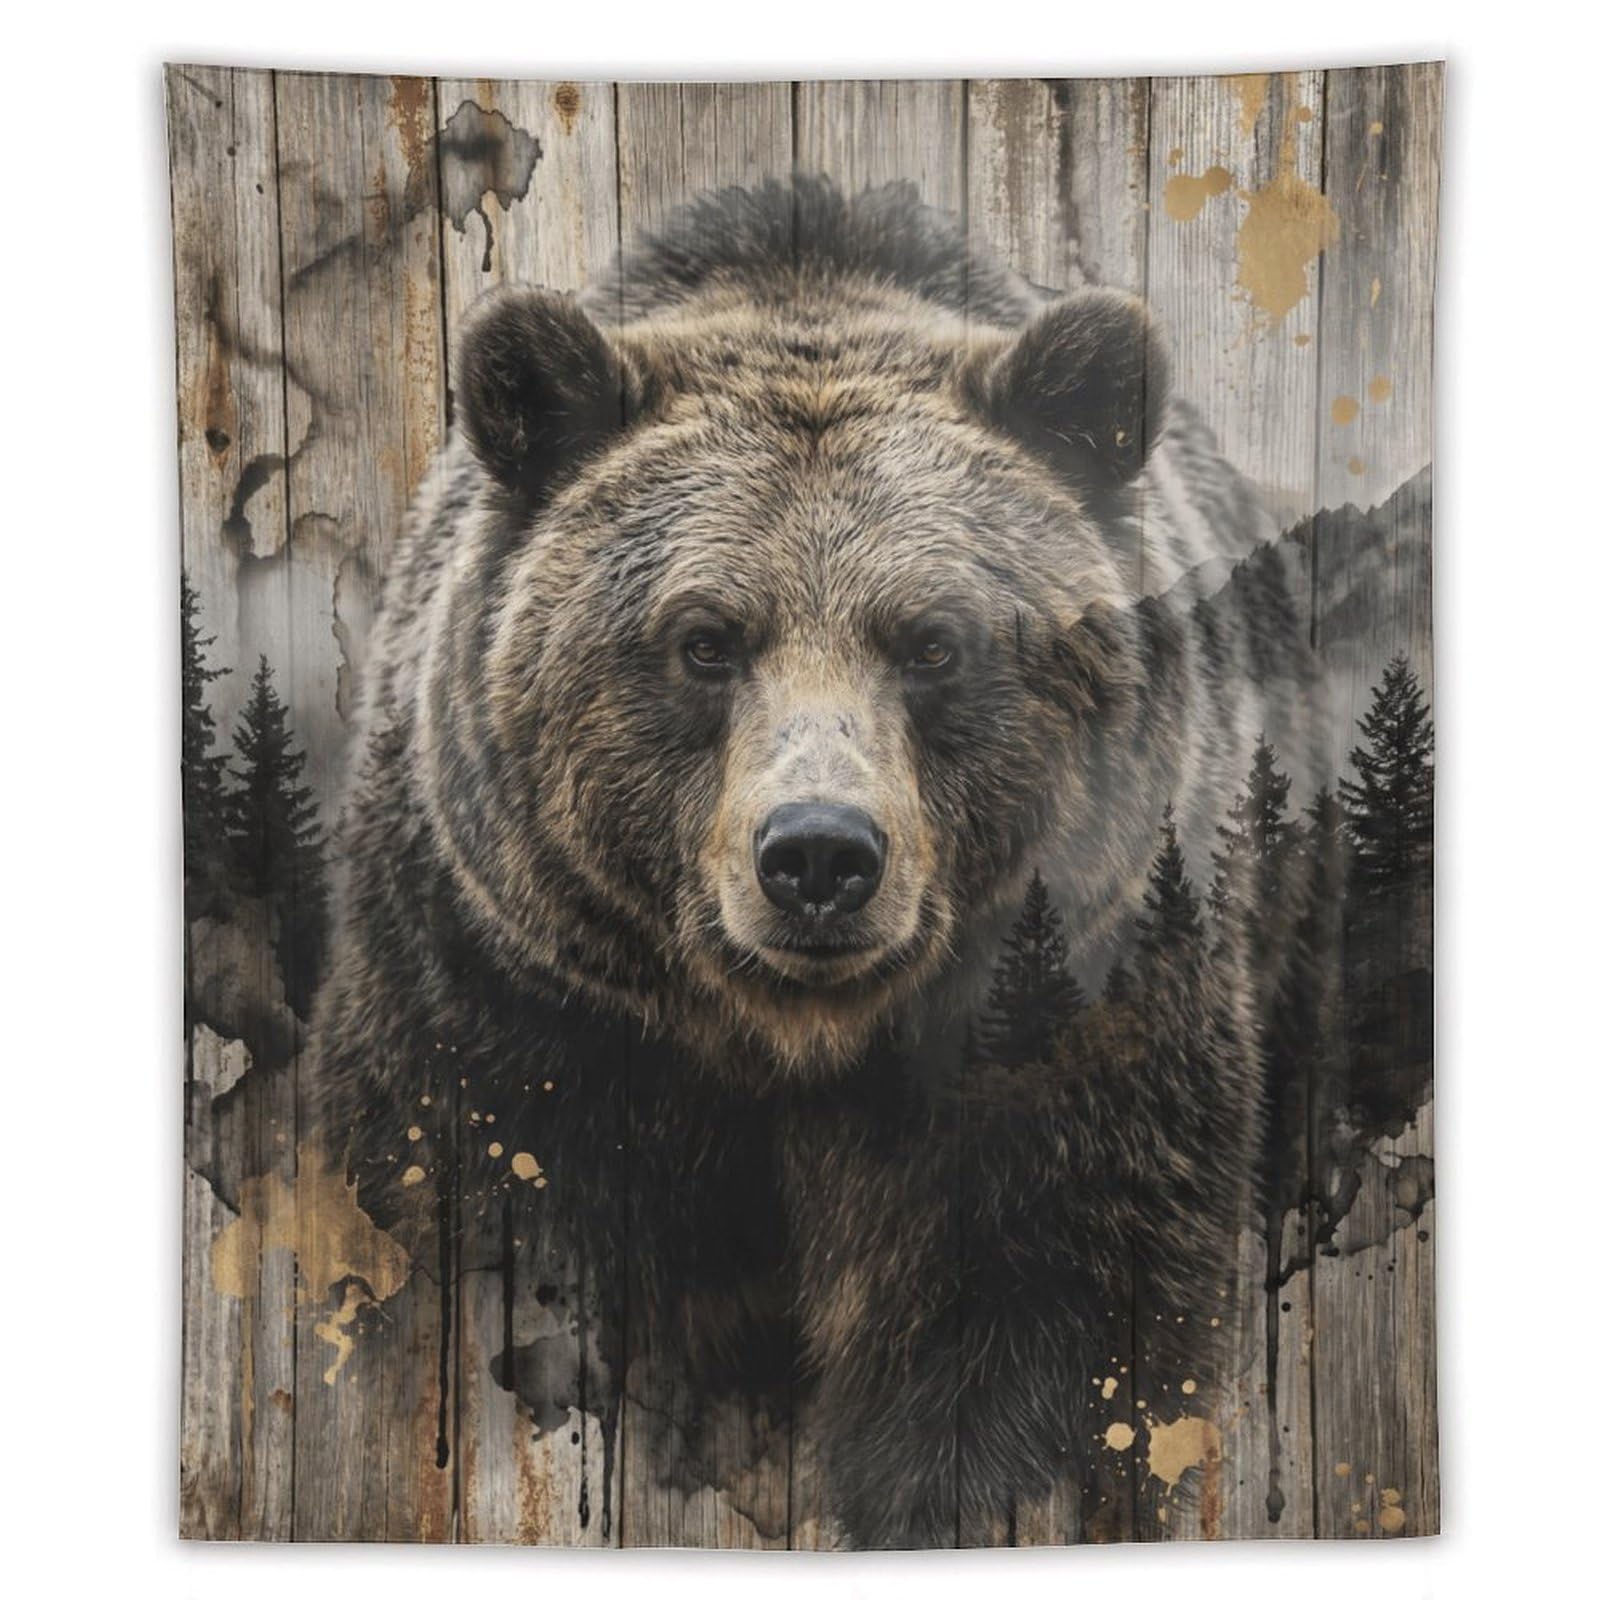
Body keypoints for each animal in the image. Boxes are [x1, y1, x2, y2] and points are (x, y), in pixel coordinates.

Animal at [314, 177, 1317, 1547]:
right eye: (704, 637)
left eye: (933, 641)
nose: (820, 856)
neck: (792, 1045)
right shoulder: (507, 1014)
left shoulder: (1075, 1030)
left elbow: (1043, 1327)